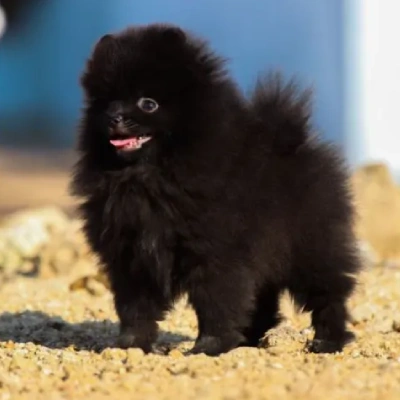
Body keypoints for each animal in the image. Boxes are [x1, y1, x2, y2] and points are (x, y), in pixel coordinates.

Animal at [70, 24, 360, 356]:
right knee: (262, 300)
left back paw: (328, 340)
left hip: (310, 248)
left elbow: (216, 303)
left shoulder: (215, 253)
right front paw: (131, 345)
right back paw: (247, 339)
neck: (150, 175)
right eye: (107, 103)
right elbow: (135, 307)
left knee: (328, 293)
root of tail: (295, 141)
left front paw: (209, 346)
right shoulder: (131, 254)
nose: (115, 117)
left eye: (148, 103)